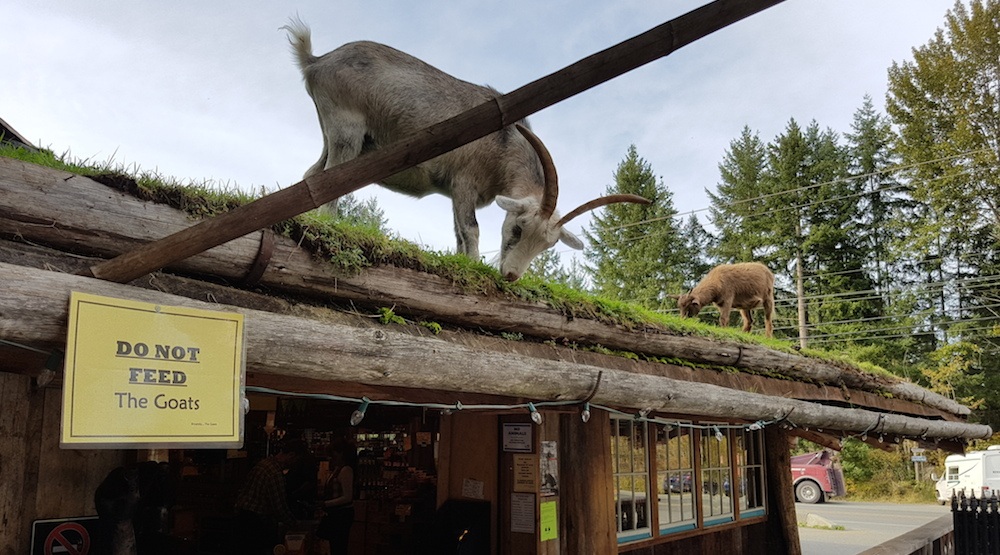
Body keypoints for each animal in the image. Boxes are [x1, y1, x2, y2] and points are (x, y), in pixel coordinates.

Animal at [281, 19, 649, 281]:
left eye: (547, 246)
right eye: (517, 228)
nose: (511, 276)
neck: (504, 139)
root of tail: (316, 61)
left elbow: (458, 233)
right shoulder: (463, 183)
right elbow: (470, 230)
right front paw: (474, 267)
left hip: (339, 136)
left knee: (312, 175)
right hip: (346, 127)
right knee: (327, 181)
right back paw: (328, 224)